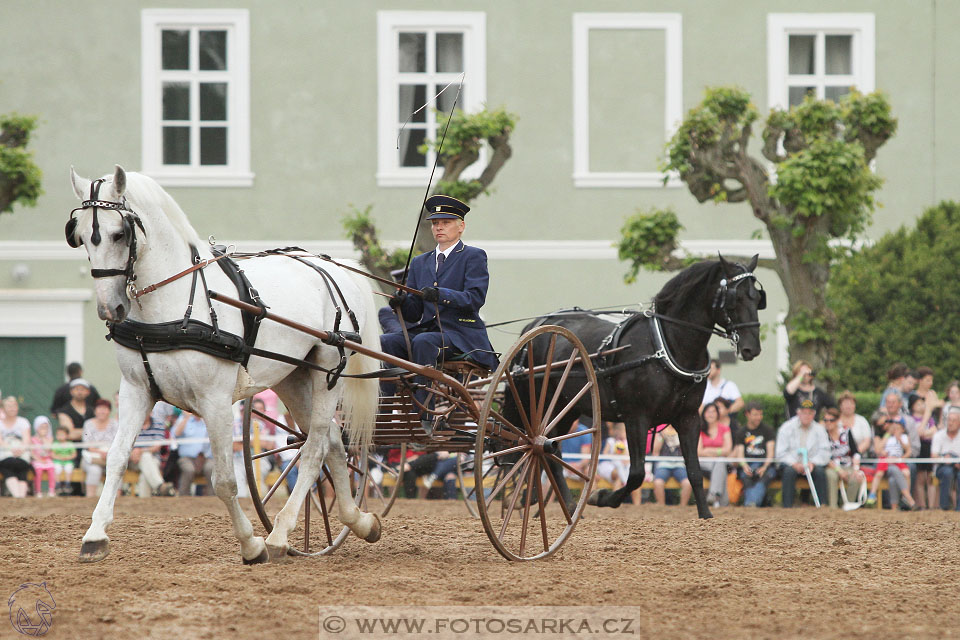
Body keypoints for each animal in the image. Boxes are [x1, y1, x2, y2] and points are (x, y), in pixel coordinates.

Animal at [66, 166, 382, 564]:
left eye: (119, 234)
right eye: (79, 236)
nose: (110, 309)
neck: (177, 305)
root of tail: (330, 267)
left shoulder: (214, 400)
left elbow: (225, 481)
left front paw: (251, 544)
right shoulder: (137, 391)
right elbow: (117, 458)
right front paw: (94, 535)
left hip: (328, 373)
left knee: (314, 449)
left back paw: (280, 534)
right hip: (293, 377)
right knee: (331, 442)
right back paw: (358, 520)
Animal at [502, 255, 764, 520]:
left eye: (757, 298)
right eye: (735, 298)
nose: (752, 348)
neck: (666, 346)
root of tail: (535, 325)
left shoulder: (689, 417)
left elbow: (694, 471)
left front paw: (705, 515)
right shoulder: (637, 417)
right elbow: (637, 474)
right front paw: (602, 497)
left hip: (567, 409)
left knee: (550, 449)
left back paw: (558, 506)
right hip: (539, 403)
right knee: (540, 448)